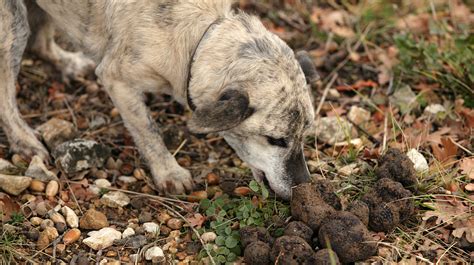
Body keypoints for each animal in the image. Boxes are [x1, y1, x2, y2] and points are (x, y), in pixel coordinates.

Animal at [0, 0, 318, 198]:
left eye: (305, 135)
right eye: (276, 140)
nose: (304, 186)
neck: (198, 39)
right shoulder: (117, 79)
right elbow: (148, 132)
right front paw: (169, 172)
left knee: (41, 43)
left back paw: (68, 63)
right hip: (13, 24)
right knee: (7, 90)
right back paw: (23, 140)